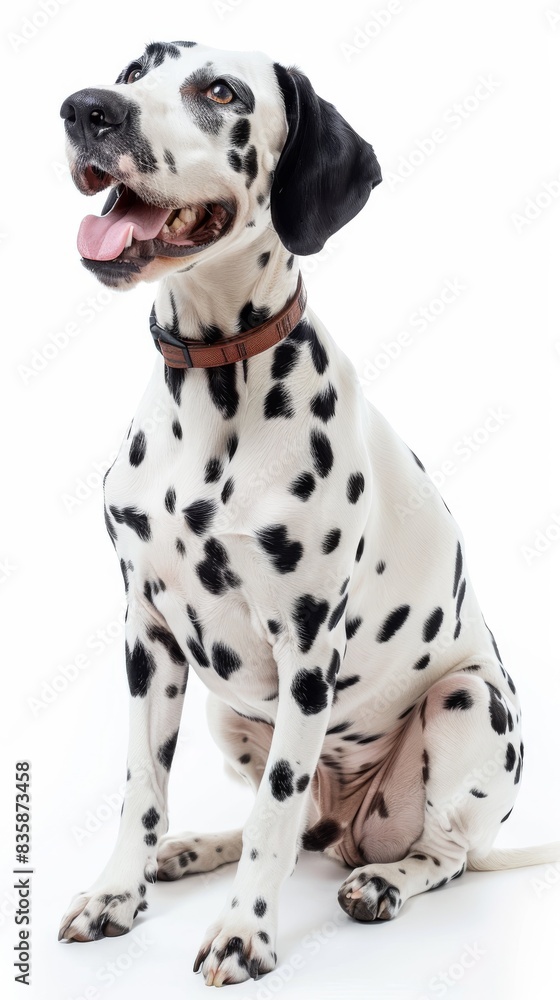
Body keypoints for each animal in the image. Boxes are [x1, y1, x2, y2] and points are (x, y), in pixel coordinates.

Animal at [59, 43, 556, 988]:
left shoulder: (306, 652)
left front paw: (243, 933)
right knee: (305, 829)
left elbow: (274, 816)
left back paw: (384, 882)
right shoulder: (148, 636)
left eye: (220, 91)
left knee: (434, 853)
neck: (213, 386)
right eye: (136, 67)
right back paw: (191, 850)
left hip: (470, 701)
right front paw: (117, 891)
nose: (85, 109)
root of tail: (355, 823)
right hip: (230, 713)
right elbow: (143, 786)